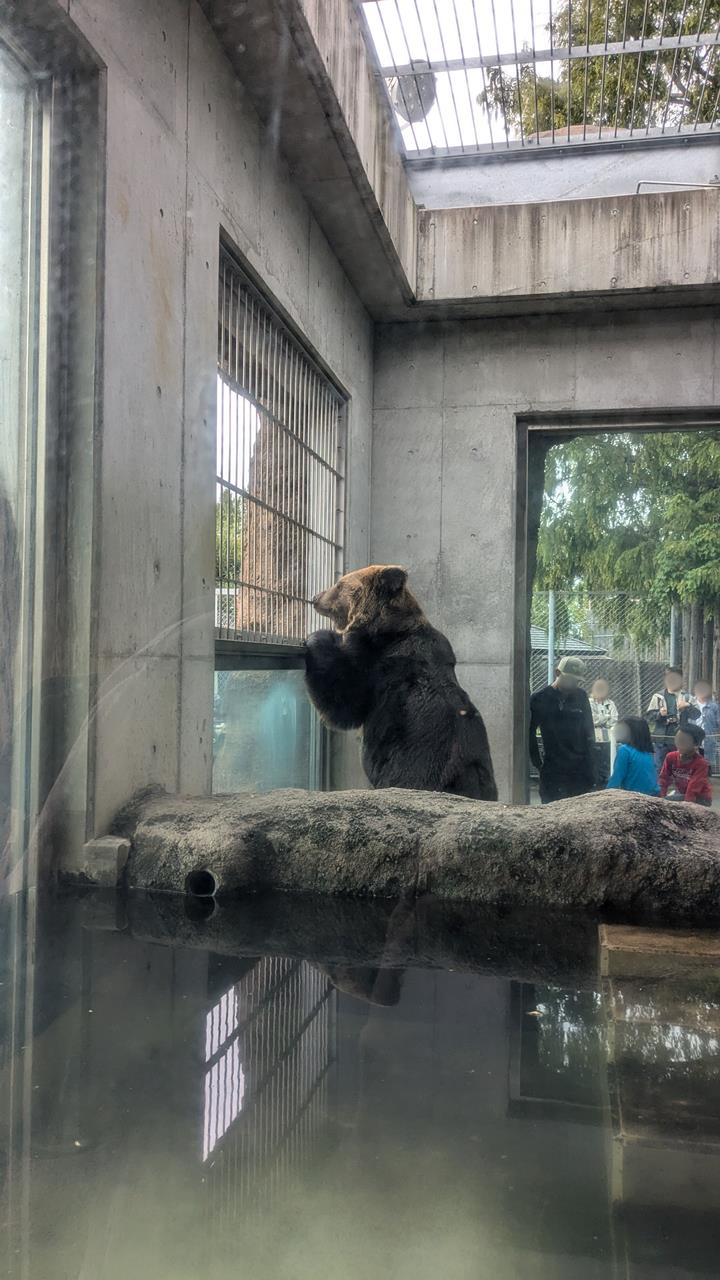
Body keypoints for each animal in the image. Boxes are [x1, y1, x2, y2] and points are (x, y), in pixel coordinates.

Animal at [303, 563, 499, 793]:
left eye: (340, 584)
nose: (316, 597)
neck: (386, 627)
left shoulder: (377, 668)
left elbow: (345, 700)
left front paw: (318, 637)